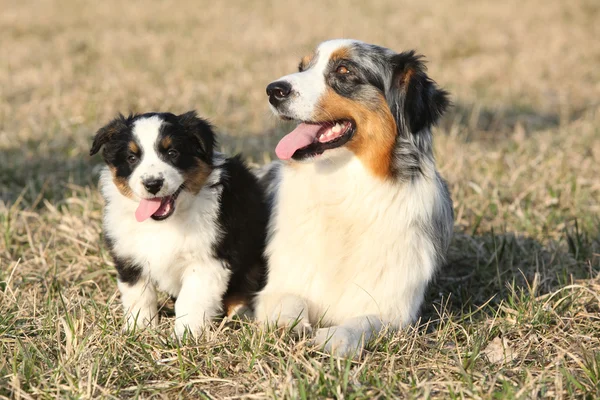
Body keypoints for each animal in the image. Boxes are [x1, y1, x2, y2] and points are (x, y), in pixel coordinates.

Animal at [90, 110, 268, 338]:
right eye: (132, 158)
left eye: (172, 153)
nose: (152, 184)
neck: (164, 223)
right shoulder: (129, 256)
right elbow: (138, 296)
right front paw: (138, 331)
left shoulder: (207, 261)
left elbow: (190, 301)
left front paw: (184, 336)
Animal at [254, 40, 454, 358]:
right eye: (303, 67)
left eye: (344, 70)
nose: (273, 90)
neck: (343, 188)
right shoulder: (279, 284)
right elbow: (288, 301)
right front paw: (288, 324)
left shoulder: (396, 309)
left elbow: (363, 322)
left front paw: (335, 337)